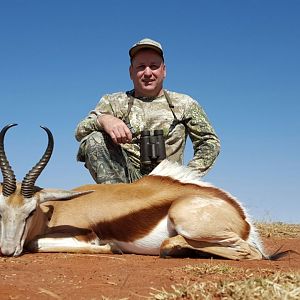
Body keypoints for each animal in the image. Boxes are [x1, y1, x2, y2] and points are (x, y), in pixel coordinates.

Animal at [0, 123, 278, 258]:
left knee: (250, 253)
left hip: (185, 219)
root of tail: (242, 218)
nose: (7, 251)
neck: (55, 211)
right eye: (1, 212)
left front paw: (111, 248)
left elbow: (34, 243)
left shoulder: (85, 236)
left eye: (30, 212)